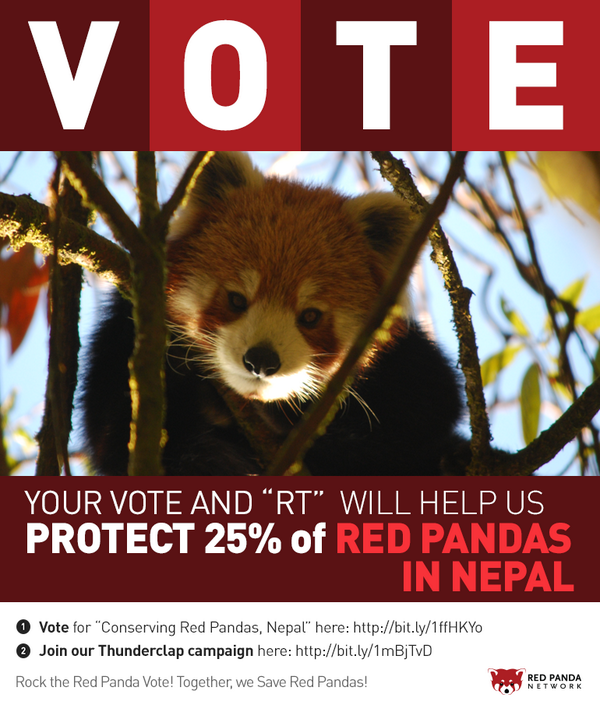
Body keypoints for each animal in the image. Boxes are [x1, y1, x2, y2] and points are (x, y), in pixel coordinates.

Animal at [81, 152, 466, 476]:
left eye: (310, 316)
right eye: (237, 300)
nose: (262, 360)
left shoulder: (408, 366)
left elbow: (421, 417)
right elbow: (117, 440)